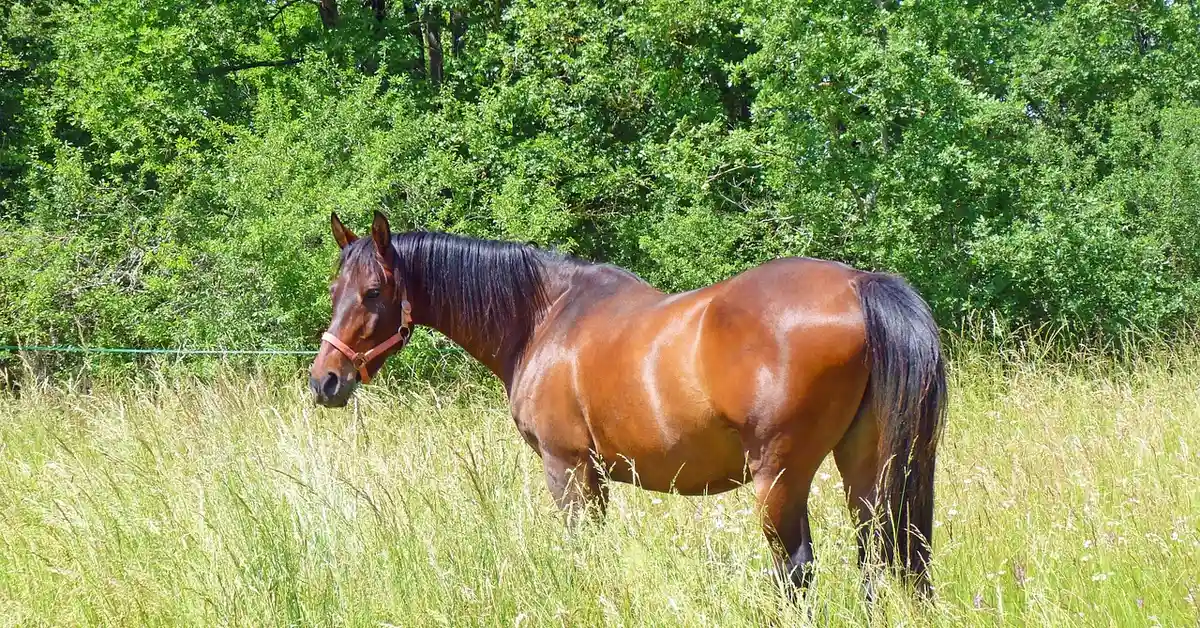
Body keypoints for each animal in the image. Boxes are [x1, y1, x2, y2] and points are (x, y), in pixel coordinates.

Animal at [308, 210, 947, 601]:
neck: (544, 316)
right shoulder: (593, 476)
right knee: (879, 557)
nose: (325, 381)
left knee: (798, 569)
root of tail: (859, 285)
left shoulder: (567, 469)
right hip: (866, 467)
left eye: (373, 292)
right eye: (335, 291)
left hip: (781, 479)